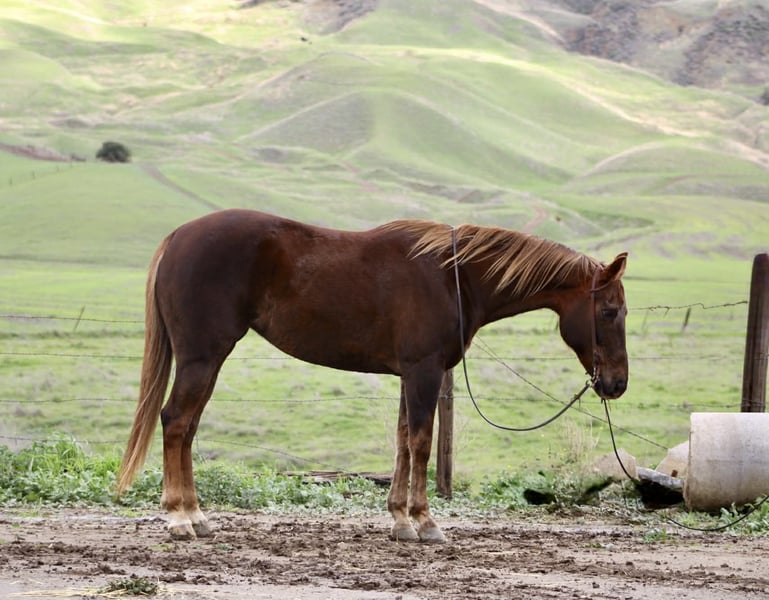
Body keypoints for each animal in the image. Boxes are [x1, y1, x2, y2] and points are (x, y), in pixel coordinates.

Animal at [117, 209, 628, 544]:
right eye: (609, 311)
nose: (617, 383)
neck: (453, 278)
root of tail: (178, 236)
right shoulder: (423, 372)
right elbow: (421, 442)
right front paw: (425, 522)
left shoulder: (408, 375)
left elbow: (402, 441)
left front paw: (399, 521)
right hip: (203, 358)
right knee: (176, 422)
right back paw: (179, 519)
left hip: (206, 361)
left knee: (186, 428)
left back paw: (197, 516)